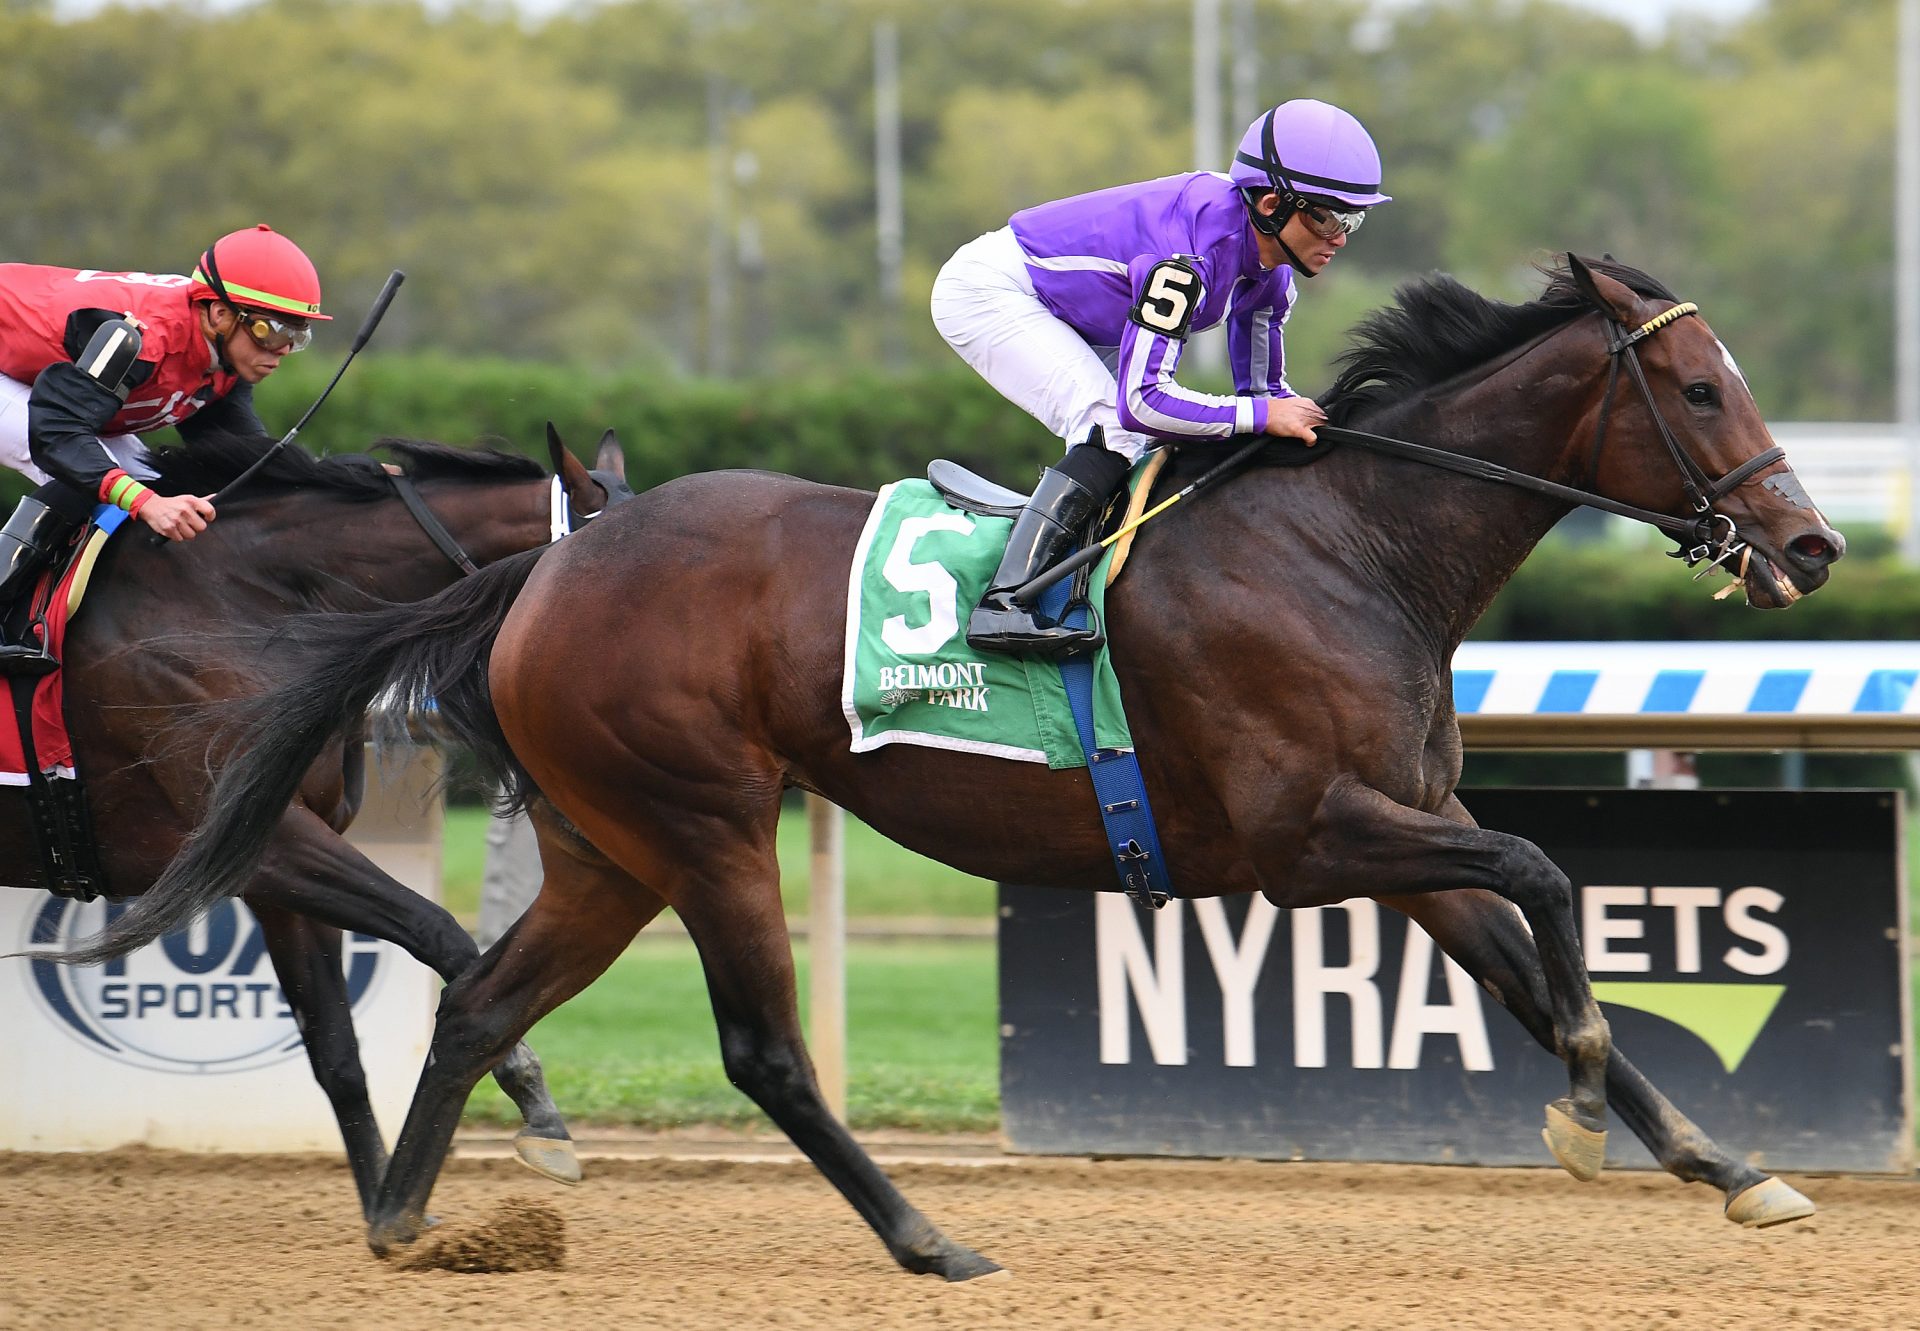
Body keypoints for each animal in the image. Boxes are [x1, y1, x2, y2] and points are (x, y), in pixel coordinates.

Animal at [16, 422, 629, 1213]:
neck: (245, 600)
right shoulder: (272, 842)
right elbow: (442, 933)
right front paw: (535, 1102)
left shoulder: (275, 862)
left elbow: (336, 1052)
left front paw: (387, 1211)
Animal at [86, 251, 1843, 1275]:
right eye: (1700, 387)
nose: (1815, 545)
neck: (1353, 546)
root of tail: (546, 568)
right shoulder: (1314, 837)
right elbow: (1548, 880)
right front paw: (1585, 1107)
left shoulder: (1402, 824)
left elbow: (1531, 959)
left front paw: (1728, 1164)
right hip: (709, 818)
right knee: (764, 1049)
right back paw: (931, 1238)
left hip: (608, 844)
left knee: (476, 1001)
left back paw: (409, 1220)